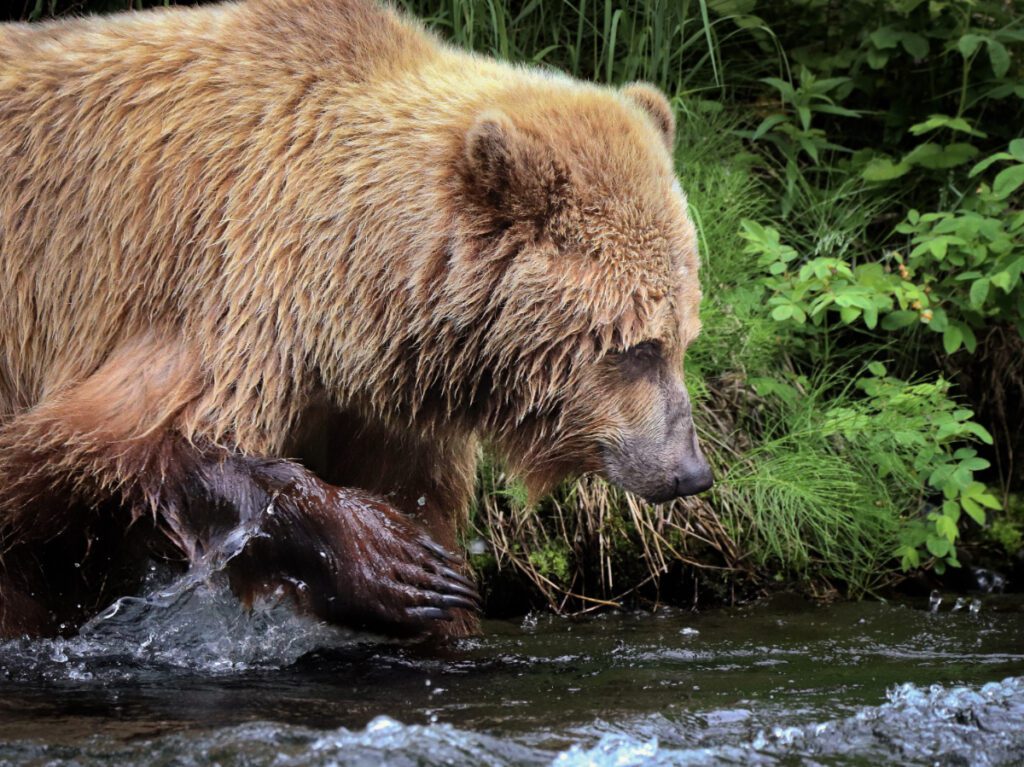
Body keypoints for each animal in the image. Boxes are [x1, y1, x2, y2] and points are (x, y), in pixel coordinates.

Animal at [0, 0, 716, 638]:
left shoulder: (383, 404)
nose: (690, 472)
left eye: (684, 338)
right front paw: (401, 565)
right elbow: (110, 443)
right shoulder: (224, 286)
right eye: (637, 347)